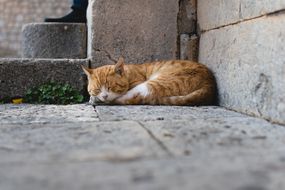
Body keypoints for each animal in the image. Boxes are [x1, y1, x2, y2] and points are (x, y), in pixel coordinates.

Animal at [81, 57, 215, 106]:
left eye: (110, 87)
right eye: (97, 89)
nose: (104, 96)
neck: (128, 74)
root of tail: (210, 83)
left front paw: (96, 99)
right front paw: (95, 97)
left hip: (154, 83)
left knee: (134, 98)